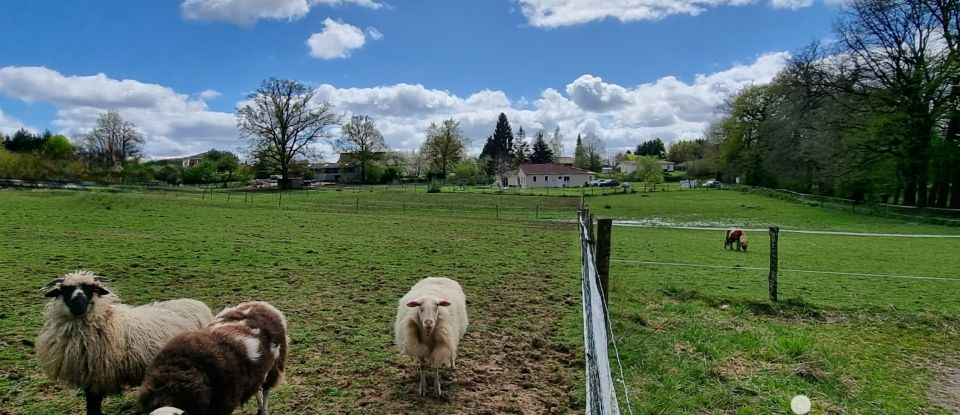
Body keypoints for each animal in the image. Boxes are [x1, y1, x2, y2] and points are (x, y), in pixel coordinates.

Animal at [36, 270, 214, 415]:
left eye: (90, 289)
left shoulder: (98, 377)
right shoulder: (90, 378)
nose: (78, 305)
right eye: (65, 290)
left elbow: (94, 407)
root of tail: (199, 304)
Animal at [139, 300, 288, 415]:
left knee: (267, 390)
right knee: (256, 387)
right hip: (257, 371)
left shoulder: (222, 405)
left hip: (275, 365)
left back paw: (264, 409)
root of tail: (263, 305)